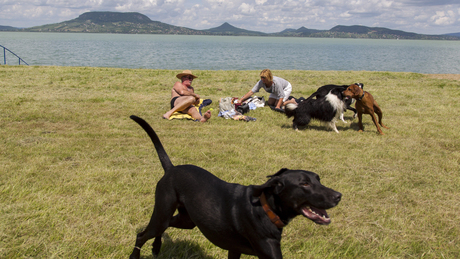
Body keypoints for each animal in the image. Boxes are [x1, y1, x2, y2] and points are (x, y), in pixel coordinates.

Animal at [129, 116, 342, 259]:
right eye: (304, 184)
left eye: (318, 179)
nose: (338, 196)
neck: (265, 209)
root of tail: (171, 169)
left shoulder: (234, 250)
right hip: (163, 211)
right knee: (142, 235)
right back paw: (136, 255)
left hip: (186, 220)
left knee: (164, 228)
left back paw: (156, 248)